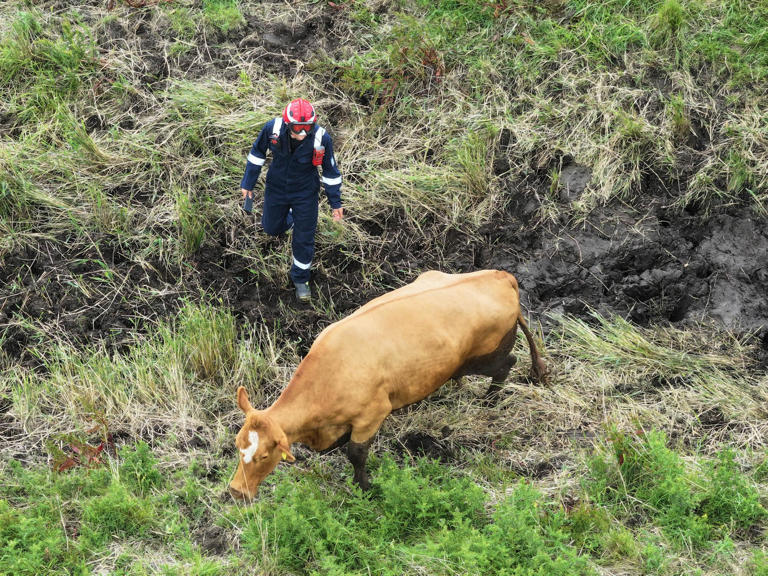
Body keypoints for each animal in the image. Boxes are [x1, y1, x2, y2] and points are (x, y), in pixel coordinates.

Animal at [229, 269, 547, 501]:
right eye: (237, 445)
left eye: (264, 455)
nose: (235, 491)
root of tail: (499, 276)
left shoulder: (372, 414)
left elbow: (356, 454)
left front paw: (364, 487)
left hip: (484, 356)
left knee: (508, 363)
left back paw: (491, 399)